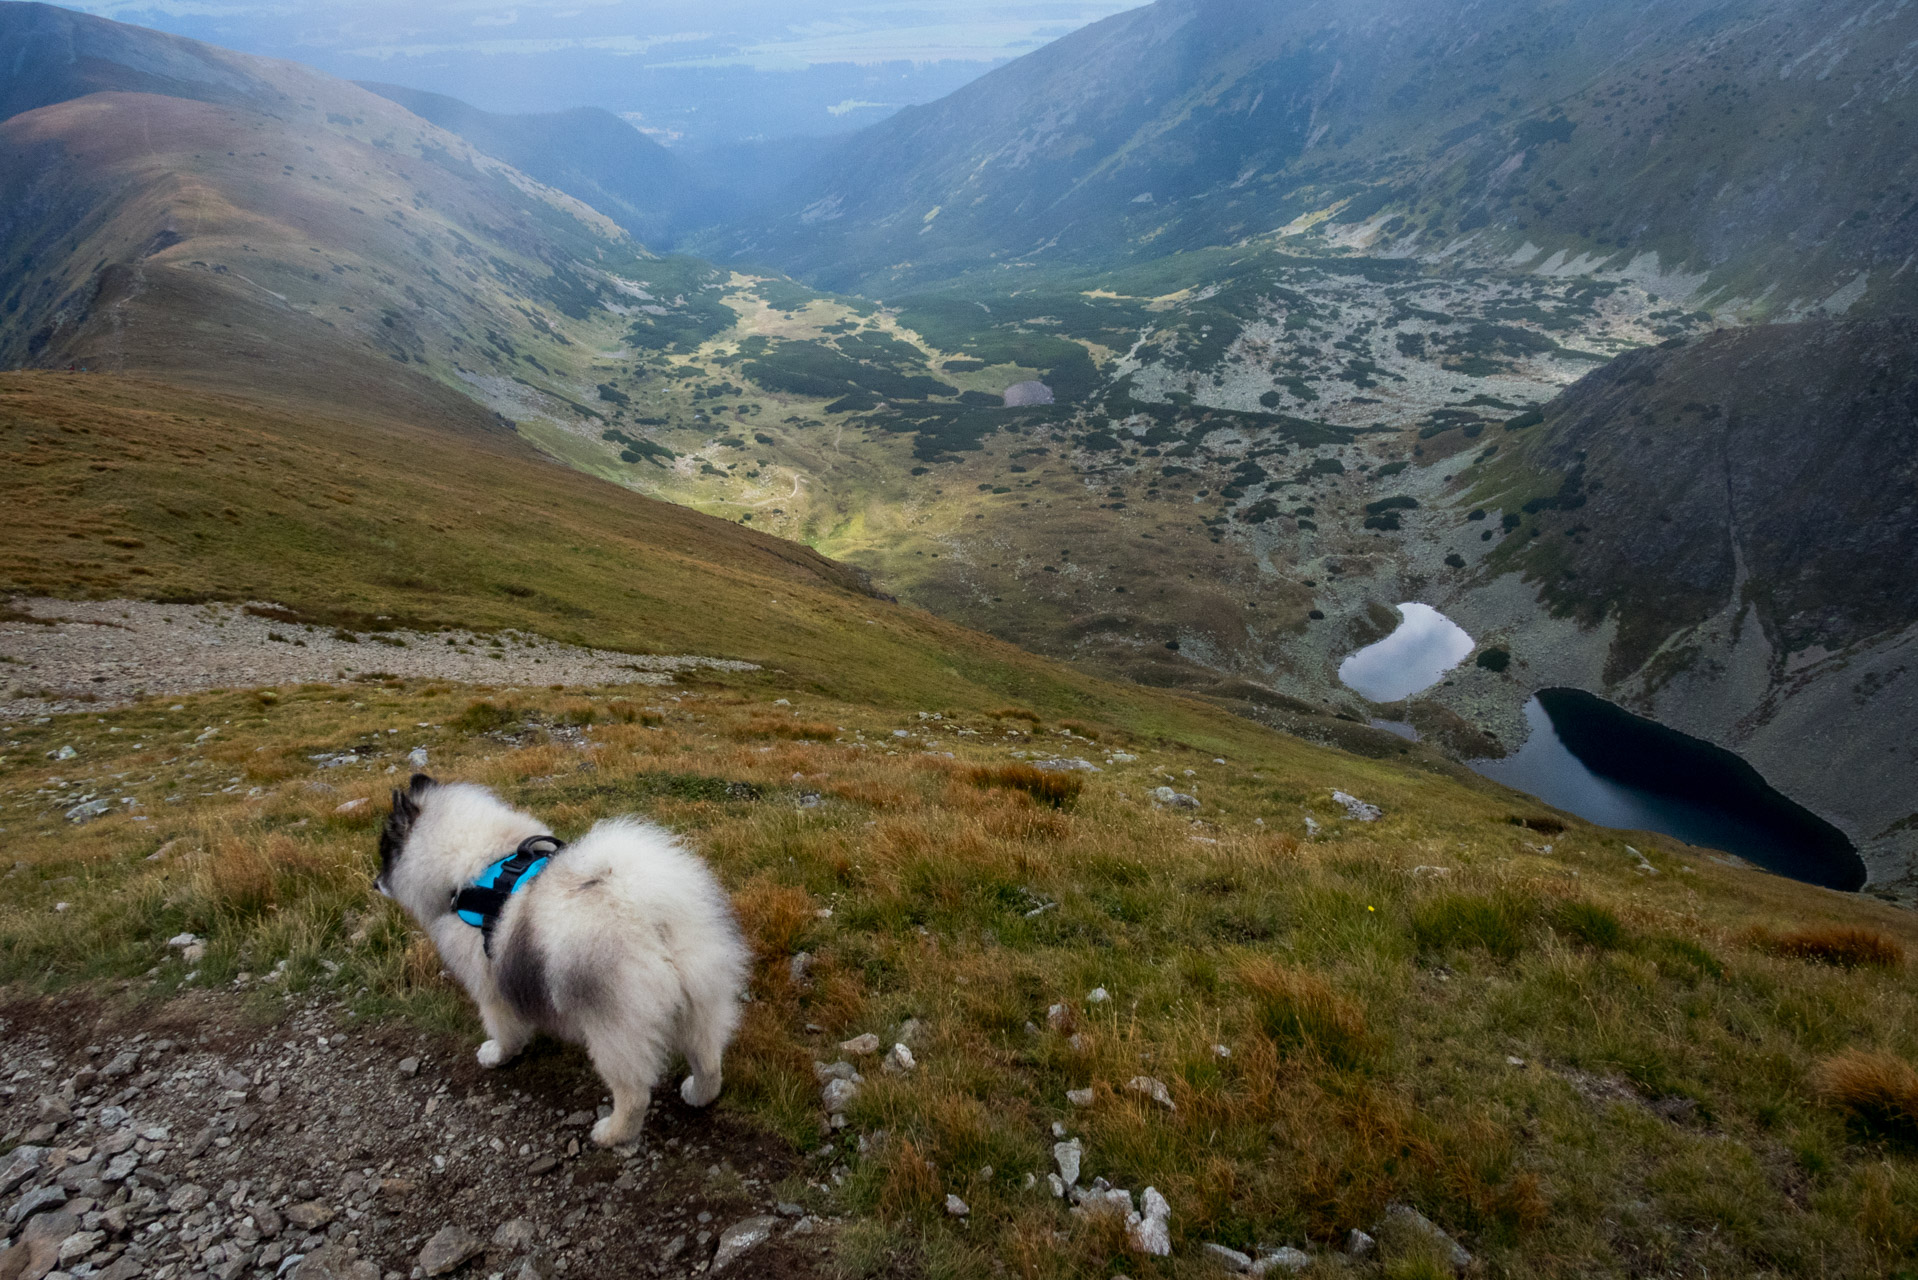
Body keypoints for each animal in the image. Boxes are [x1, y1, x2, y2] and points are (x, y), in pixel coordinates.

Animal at [374, 775, 748, 1143]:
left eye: (385, 851)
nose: (375, 883)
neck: (478, 868)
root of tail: (644, 910)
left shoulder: (490, 988)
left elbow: (504, 1030)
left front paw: (496, 1055)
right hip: (700, 999)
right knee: (708, 1061)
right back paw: (697, 1094)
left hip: (613, 1029)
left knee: (634, 1094)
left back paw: (611, 1134)